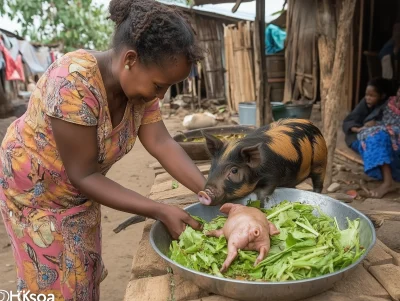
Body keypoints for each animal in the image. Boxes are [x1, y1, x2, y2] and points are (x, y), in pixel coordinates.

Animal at [198, 118, 326, 205]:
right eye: (212, 165)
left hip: (320, 161)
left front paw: (260, 202)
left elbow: (267, 188)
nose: (204, 192)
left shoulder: (273, 173)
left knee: (318, 182)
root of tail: (310, 123)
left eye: (234, 171)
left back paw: (317, 192)